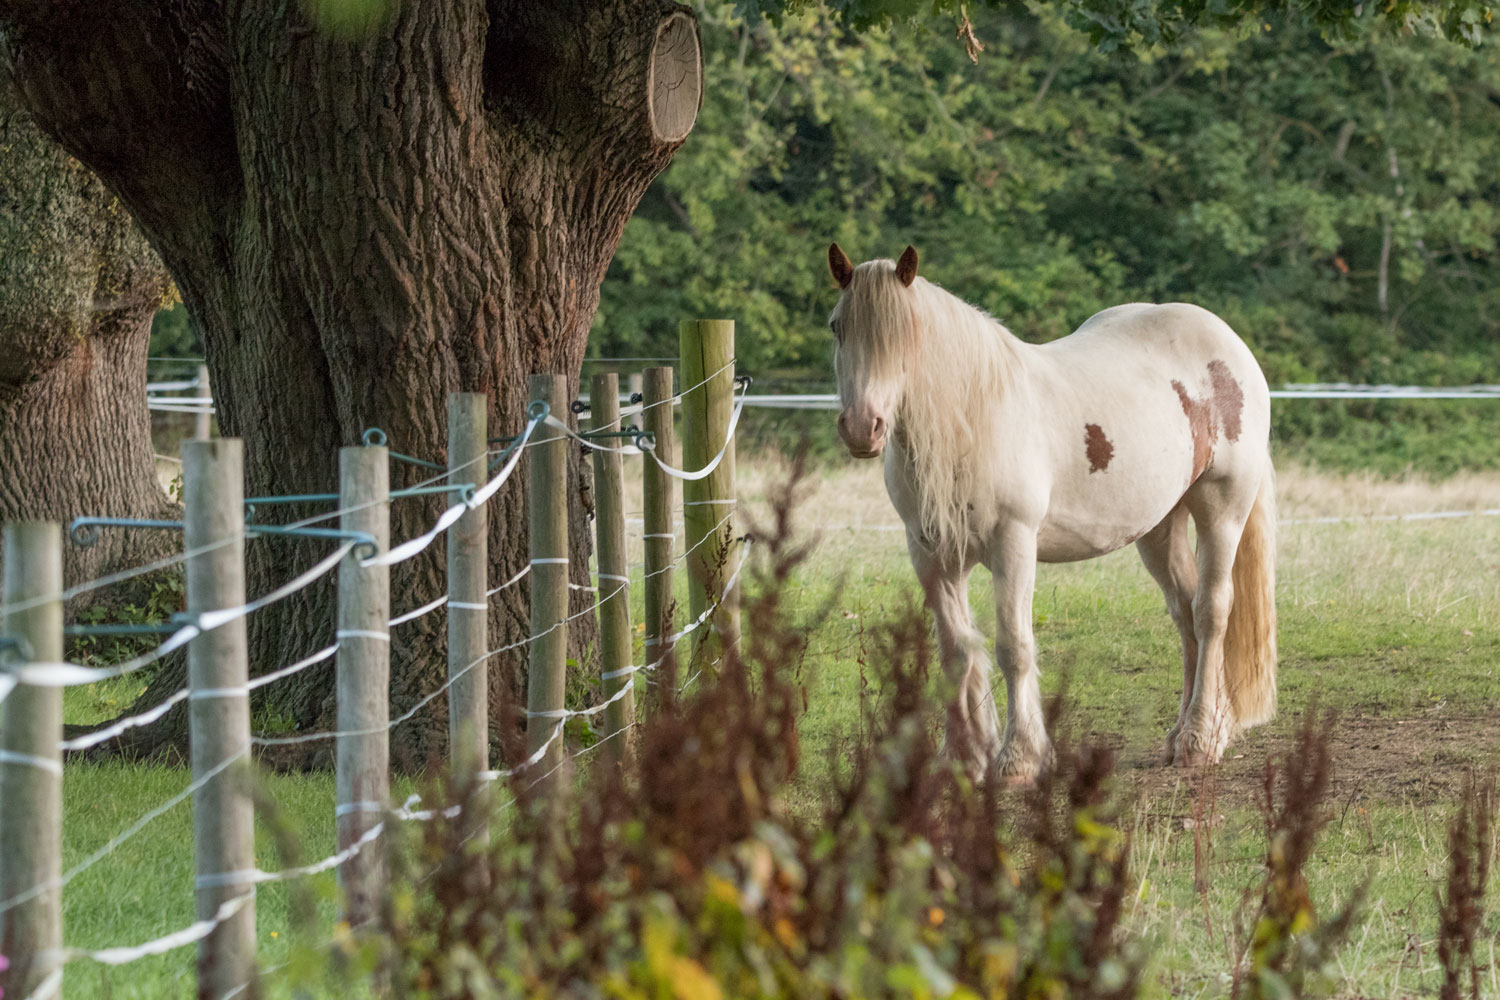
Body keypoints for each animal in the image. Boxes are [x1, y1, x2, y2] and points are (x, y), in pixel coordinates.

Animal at [827, 243, 1277, 781]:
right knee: (1184, 610)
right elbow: (956, 651)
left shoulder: (1013, 542)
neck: (970, 420)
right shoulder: (931, 553)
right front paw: (962, 757)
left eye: (907, 332)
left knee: (1211, 611)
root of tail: (1230, 343)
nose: (861, 427)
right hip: (1159, 528)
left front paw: (1019, 759)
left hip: (1221, 509)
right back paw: (1186, 733)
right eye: (837, 326)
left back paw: (1200, 739)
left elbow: (1013, 647)